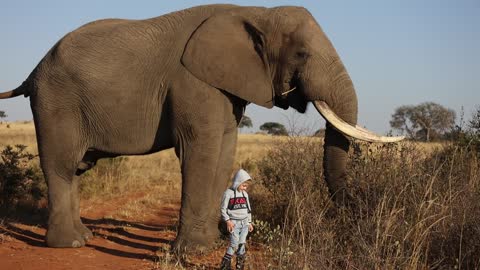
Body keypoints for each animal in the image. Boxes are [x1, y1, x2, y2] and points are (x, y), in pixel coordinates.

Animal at [0, 4, 402, 252]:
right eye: (302, 54)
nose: (355, 216)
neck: (257, 12)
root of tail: (33, 71)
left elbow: (224, 150)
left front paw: (213, 244)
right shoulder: (193, 81)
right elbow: (201, 150)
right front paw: (192, 252)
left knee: (72, 171)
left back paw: (84, 238)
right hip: (56, 101)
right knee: (61, 167)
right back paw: (69, 244)